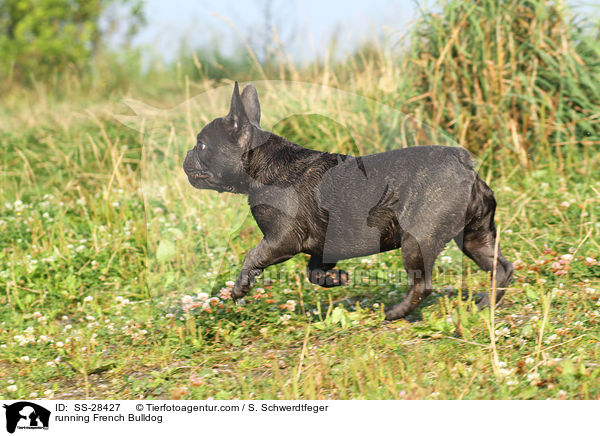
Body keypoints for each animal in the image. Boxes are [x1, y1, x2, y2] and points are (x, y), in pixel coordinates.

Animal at [180, 82, 512, 320]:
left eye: (202, 145)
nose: (187, 153)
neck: (261, 165)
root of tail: (463, 165)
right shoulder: (319, 246)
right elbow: (314, 272)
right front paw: (336, 278)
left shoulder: (281, 239)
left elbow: (252, 255)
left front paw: (239, 288)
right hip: (474, 237)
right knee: (501, 267)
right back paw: (486, 305)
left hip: (417, 240)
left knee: (422, 283)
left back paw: (396, 313)